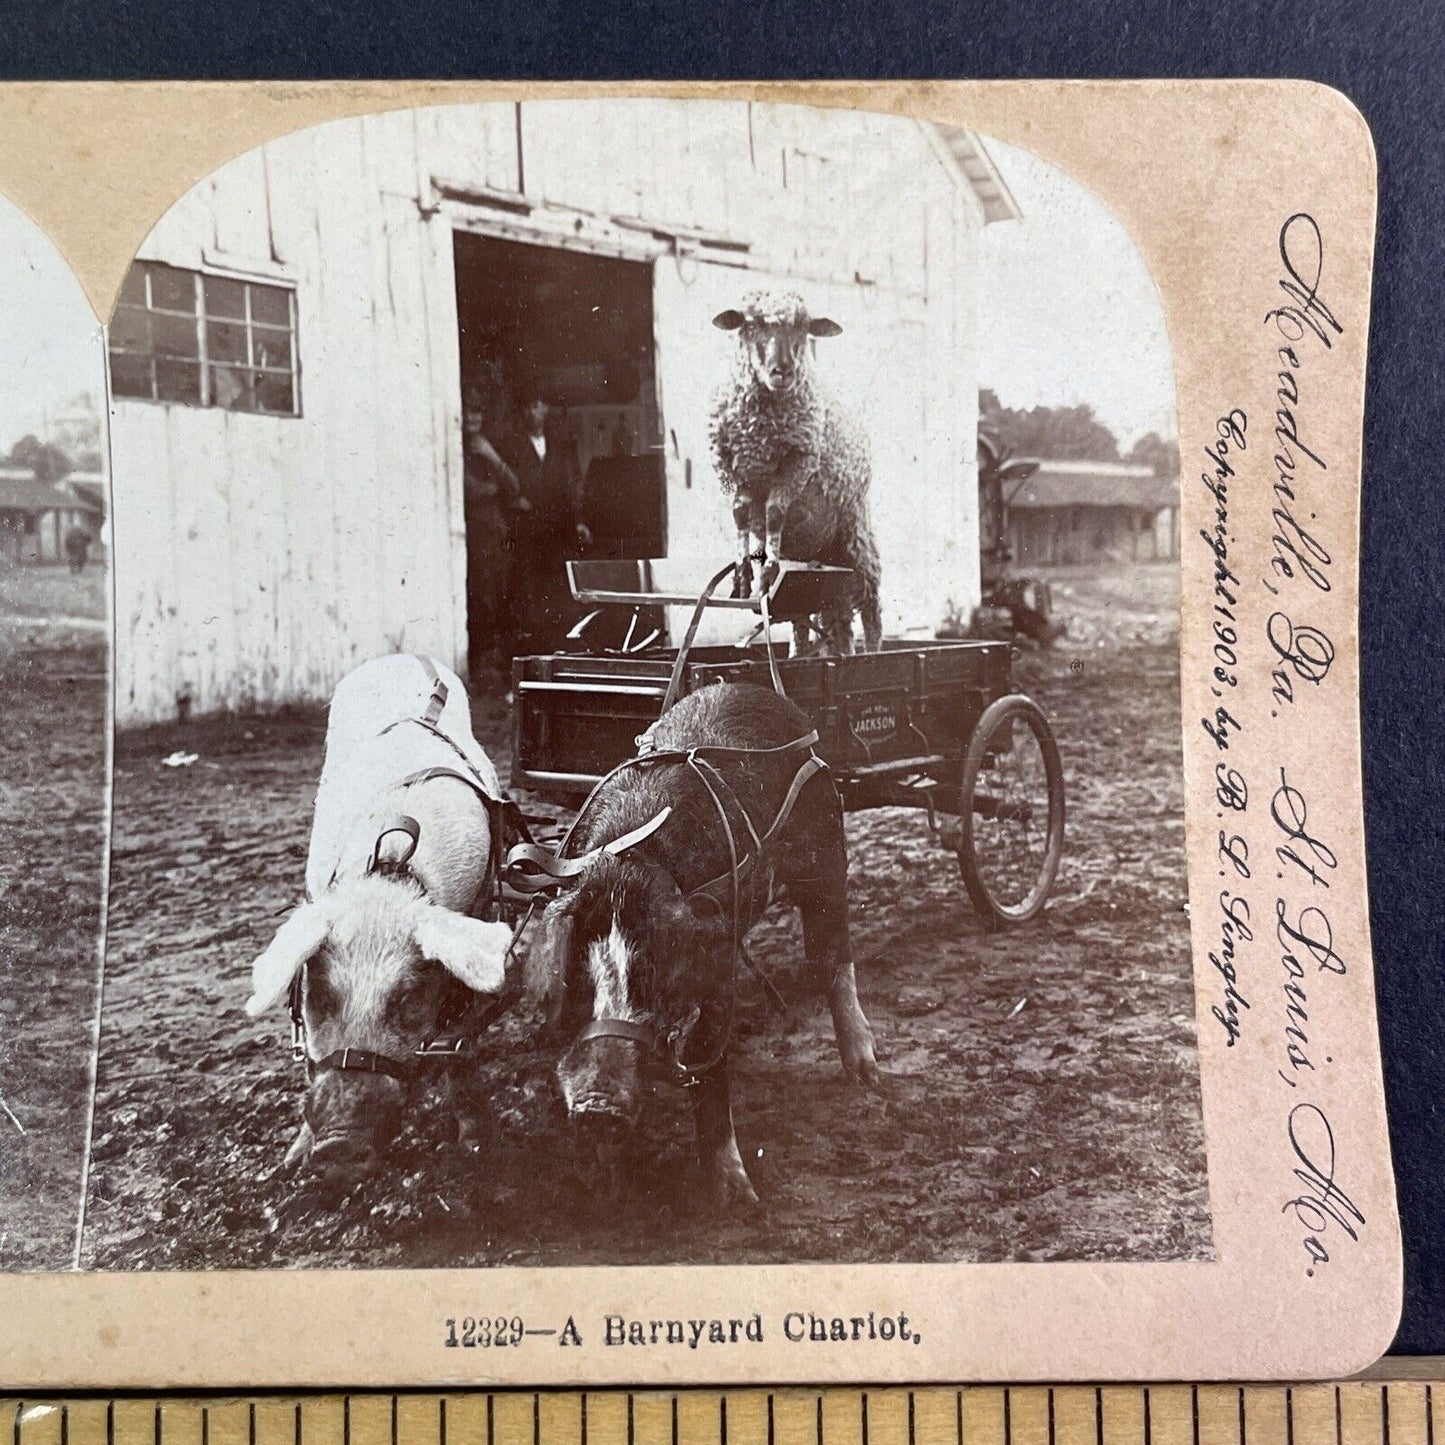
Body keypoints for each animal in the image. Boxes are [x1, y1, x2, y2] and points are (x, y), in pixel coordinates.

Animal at [708, 293, 884, 656]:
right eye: (750, 325)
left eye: (803, 329)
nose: (783, 371)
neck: (760, 423)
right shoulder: (735, 466)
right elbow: (739, 514)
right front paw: (743, 575)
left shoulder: (799, 461)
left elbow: (774, 511)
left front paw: (768, 567)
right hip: (817, 563)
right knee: (824, 616)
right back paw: (812, 654)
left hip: (856, 533)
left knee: (870, 603)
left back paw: (873, 655)